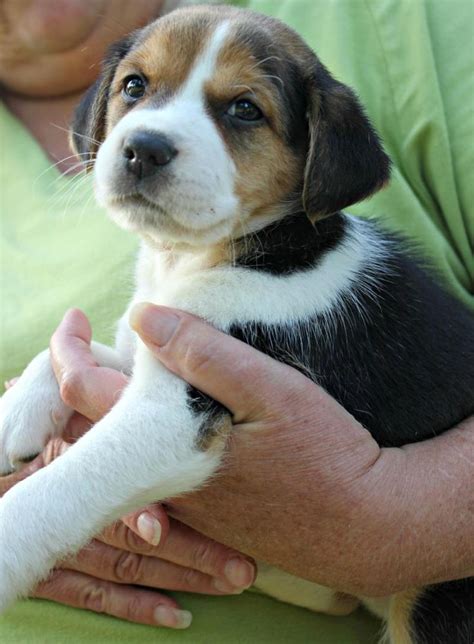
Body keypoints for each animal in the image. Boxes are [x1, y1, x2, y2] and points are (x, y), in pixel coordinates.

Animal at [0, 6, 474, 644]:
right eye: (134, 87)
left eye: (245, 109)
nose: (142, 148)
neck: (206, 256)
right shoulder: (149, 343)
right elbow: (69, 352)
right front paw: (14, 417)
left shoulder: (175, 411)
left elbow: (59, 488)